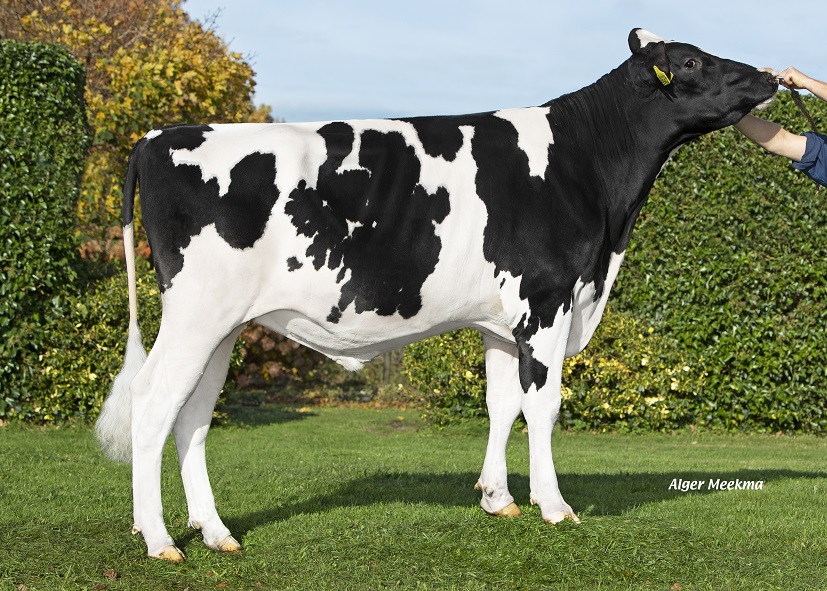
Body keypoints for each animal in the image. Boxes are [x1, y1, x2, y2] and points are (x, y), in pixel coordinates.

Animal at [95, 29, 778, 561]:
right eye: (690, 61)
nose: (770, 76)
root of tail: (156, 136)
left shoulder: (503, 320)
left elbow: (502, 404)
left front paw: (499, 499)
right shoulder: (546, 301)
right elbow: (543, 406)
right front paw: (553, 505)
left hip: (223, 326)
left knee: (191, 416)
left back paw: (215, 533)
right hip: (196, 313)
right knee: (152, 403)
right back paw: (159, 539)